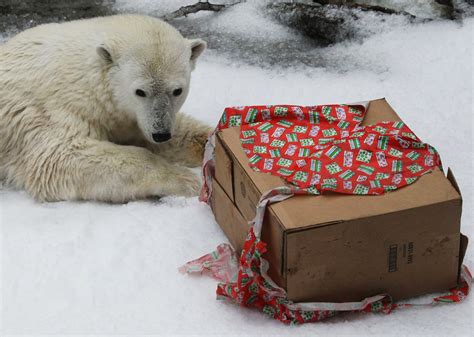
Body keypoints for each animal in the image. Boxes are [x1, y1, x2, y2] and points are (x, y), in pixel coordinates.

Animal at [0, 14, 211, 201]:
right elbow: (60, 157)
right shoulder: (53, 112)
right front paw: (186, 179)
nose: (161, 133)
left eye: (177, 90)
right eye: (140, 91)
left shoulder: (130, 118)